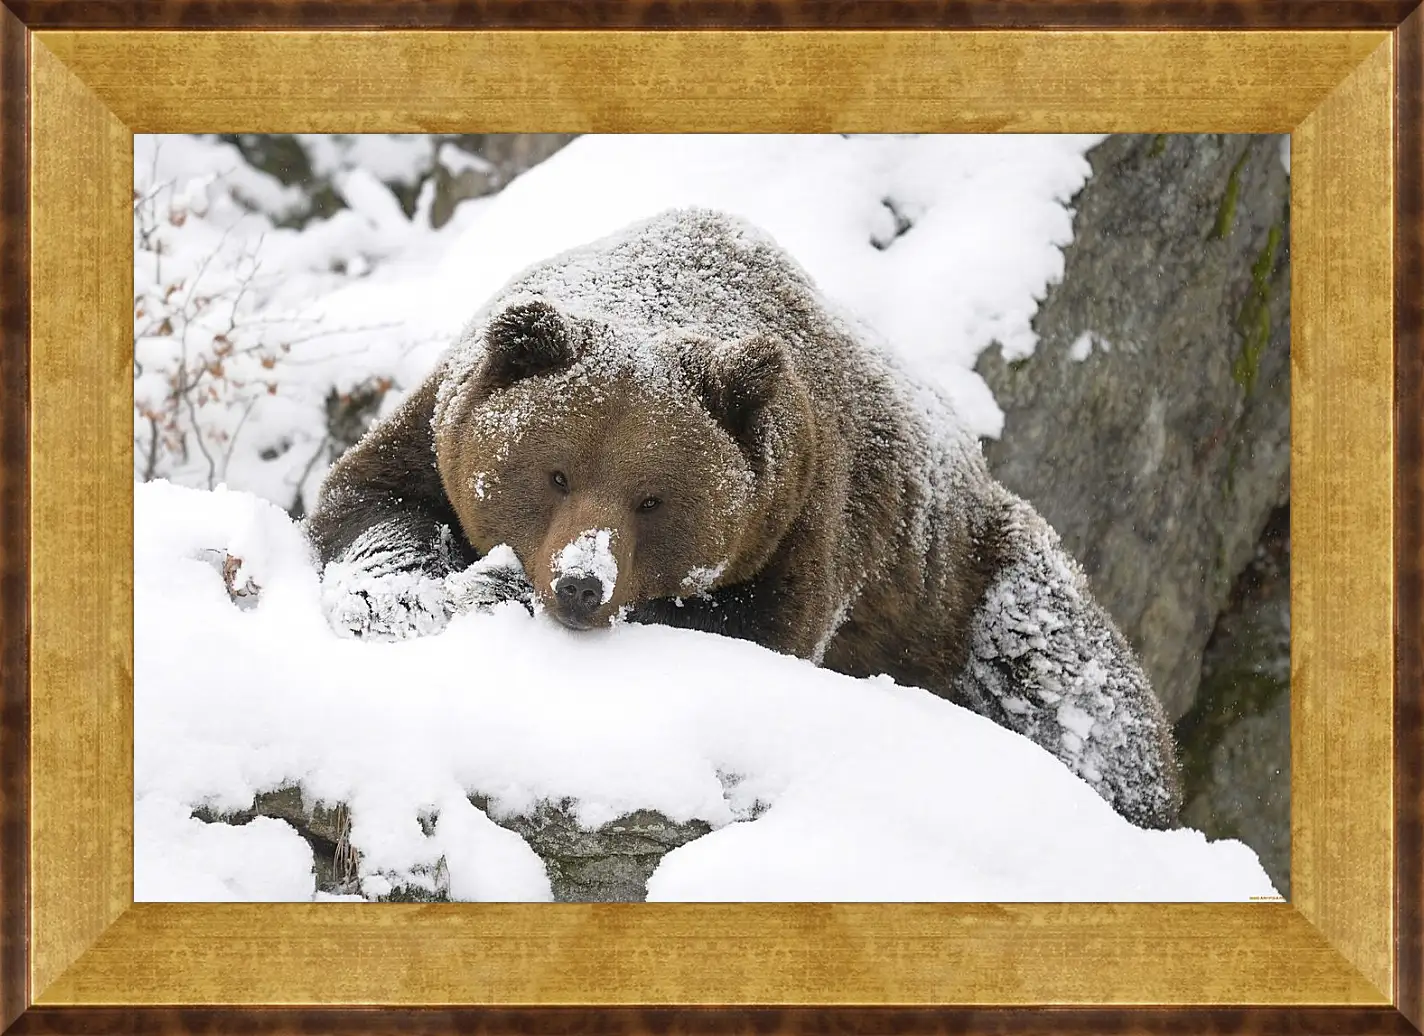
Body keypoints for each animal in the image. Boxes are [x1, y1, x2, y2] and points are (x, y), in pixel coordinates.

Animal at [306, 206, 1184, 831]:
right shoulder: (436, 426)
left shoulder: (804, 519)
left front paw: (501, 589)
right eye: (555, 473)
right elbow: (371, 506)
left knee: (1071, 686)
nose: (582, 583)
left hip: (970, 585)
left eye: (652, 498)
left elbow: (752, 628)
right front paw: (419, 590)